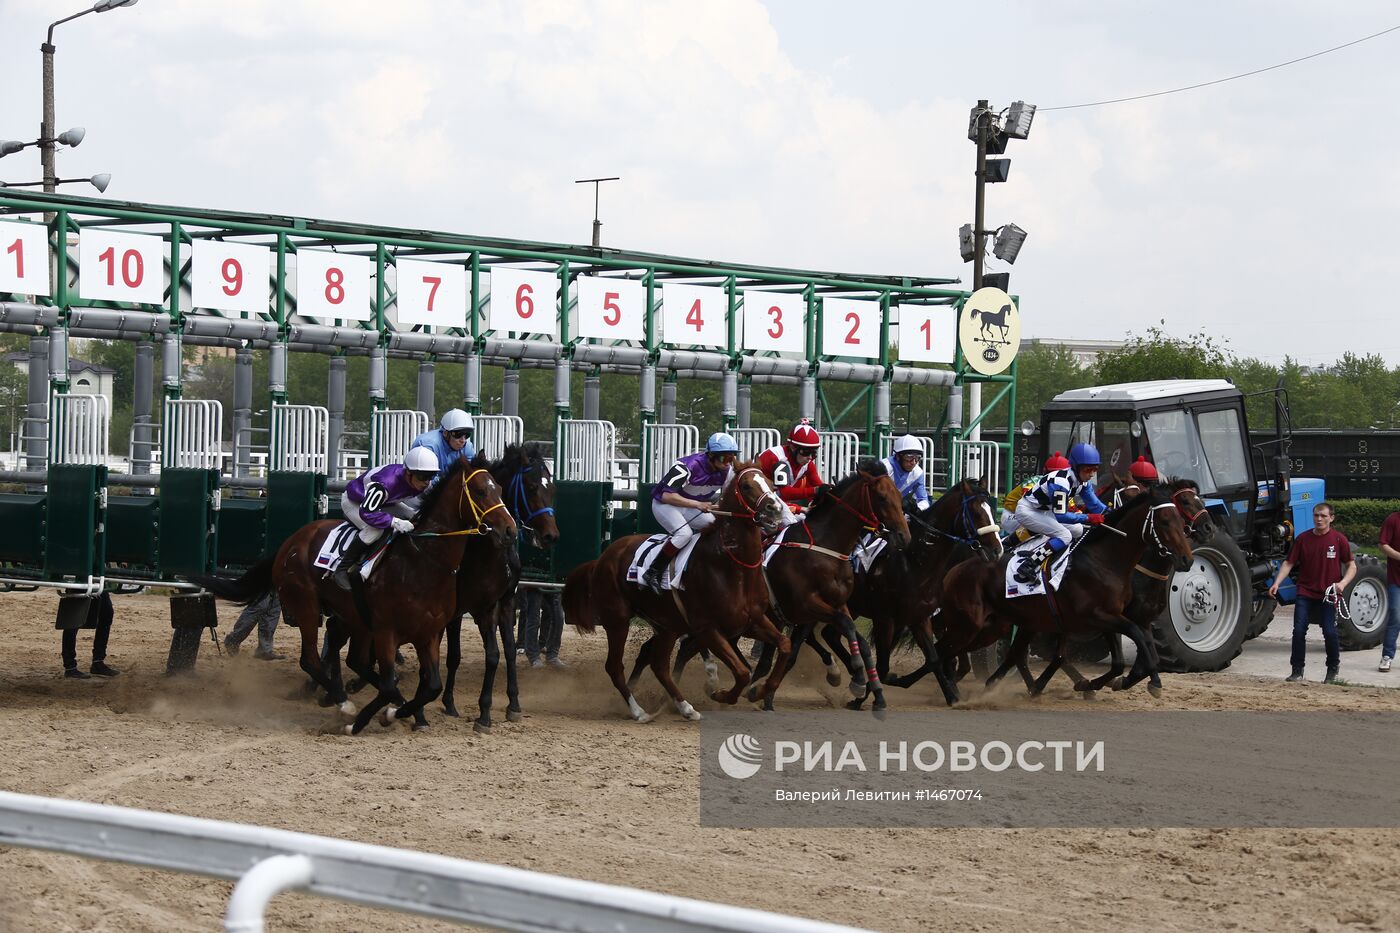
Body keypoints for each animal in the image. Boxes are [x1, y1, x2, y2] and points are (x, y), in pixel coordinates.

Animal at [196, 453, 515, 728]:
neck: (423, 560)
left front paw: (403, 713)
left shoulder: (430, 633)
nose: (510, 530)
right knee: (311, 659)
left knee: (354, 660)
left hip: (353, 617)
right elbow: (388, 684)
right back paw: (343, 702)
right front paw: (365, 719)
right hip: (307, 607)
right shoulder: (387, 632)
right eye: (480, 491)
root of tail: (289, 543)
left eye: (500, 488)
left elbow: (430, 686)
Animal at [560, 462, 789, 717]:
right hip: (617, 620)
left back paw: (685, 707)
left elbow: (784, 645)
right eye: (747, 485)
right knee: (615, 666)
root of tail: (601, 558)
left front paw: (760, 691)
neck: (731, 567)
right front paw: (719, 693)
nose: (776, 508)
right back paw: (639, 712)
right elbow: (741, 672)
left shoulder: (752, 621)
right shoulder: (707, 628)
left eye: (770, 483)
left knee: (659, 666)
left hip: (666, 625)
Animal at [929, 481, 1192, 694]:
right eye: (1165, 521)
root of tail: (959, 566)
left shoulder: (1110, 616)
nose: (1187, 560)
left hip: (1020, 618)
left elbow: (1126, 658)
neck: (1104, 560)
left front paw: (1102, 683)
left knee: (1014, 652)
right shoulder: (1098, 616)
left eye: (1181, 522)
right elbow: (1135, 638)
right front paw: (1149, 681)